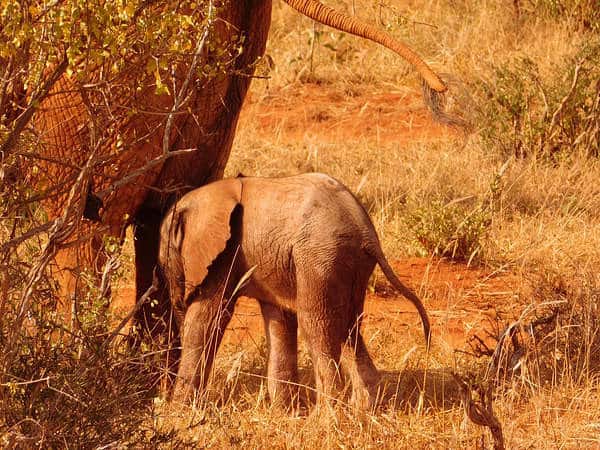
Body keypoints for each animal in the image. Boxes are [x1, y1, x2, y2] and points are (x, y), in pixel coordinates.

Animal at [158, 173, 430, 408]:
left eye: (162, 263)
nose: (179, 299)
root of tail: (366, 233)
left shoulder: (225, 253)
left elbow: (208, 318)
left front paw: (177, 410)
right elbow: (280, 320)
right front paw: (285, 411)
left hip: (320, 258)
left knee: (317, 326)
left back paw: (326, 417)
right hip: (348, 264)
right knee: (349, 328)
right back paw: (365, 409)